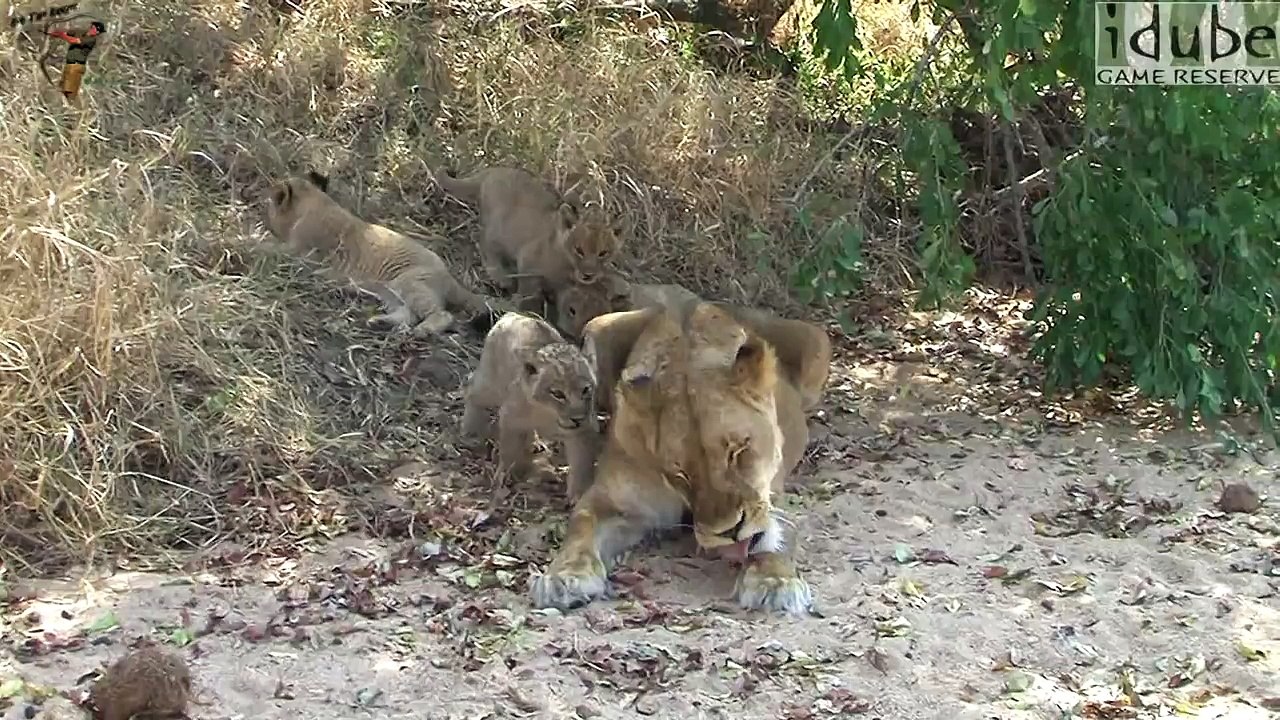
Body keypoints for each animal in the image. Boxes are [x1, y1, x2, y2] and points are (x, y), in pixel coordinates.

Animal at [259, 170, 504, 335]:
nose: (263, 211)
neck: (315, 202)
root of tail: (450, 276)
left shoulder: (300, 250)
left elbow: (264, 246)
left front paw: (250, 238)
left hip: (408, 282)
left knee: (442, 314)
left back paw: (422, 330)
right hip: (390, 292)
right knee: (408, 315)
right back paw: (379, 321)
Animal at [431, 165, 620, 315]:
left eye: (603, 253)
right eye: (578, 250)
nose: (588, 274)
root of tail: (492, 170)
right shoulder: (527, 259)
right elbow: (526, 288)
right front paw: (522, 302)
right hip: (499, 227)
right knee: (483, 242)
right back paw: (500, 276)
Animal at [460, 312, 603, 501]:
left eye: (586, 389)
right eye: (557, 394)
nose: (577, 419)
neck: (547, 413)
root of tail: (513, 314)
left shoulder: (584, 430)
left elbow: (582, 464)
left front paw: (579, 495)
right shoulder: (510, 419)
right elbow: (508, 452)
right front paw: (502, 477)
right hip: (490, 386)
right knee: (470, 387)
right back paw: (469, 430)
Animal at [528, 300, 832, 616]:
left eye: (737, 451)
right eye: (681, 475)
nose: (730, 532)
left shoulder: (770, 489)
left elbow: (777, 534)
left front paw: (775, 582)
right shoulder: (611, 498)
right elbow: (581, 526)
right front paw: (563, 577)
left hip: (816, 342)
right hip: (597, 329)